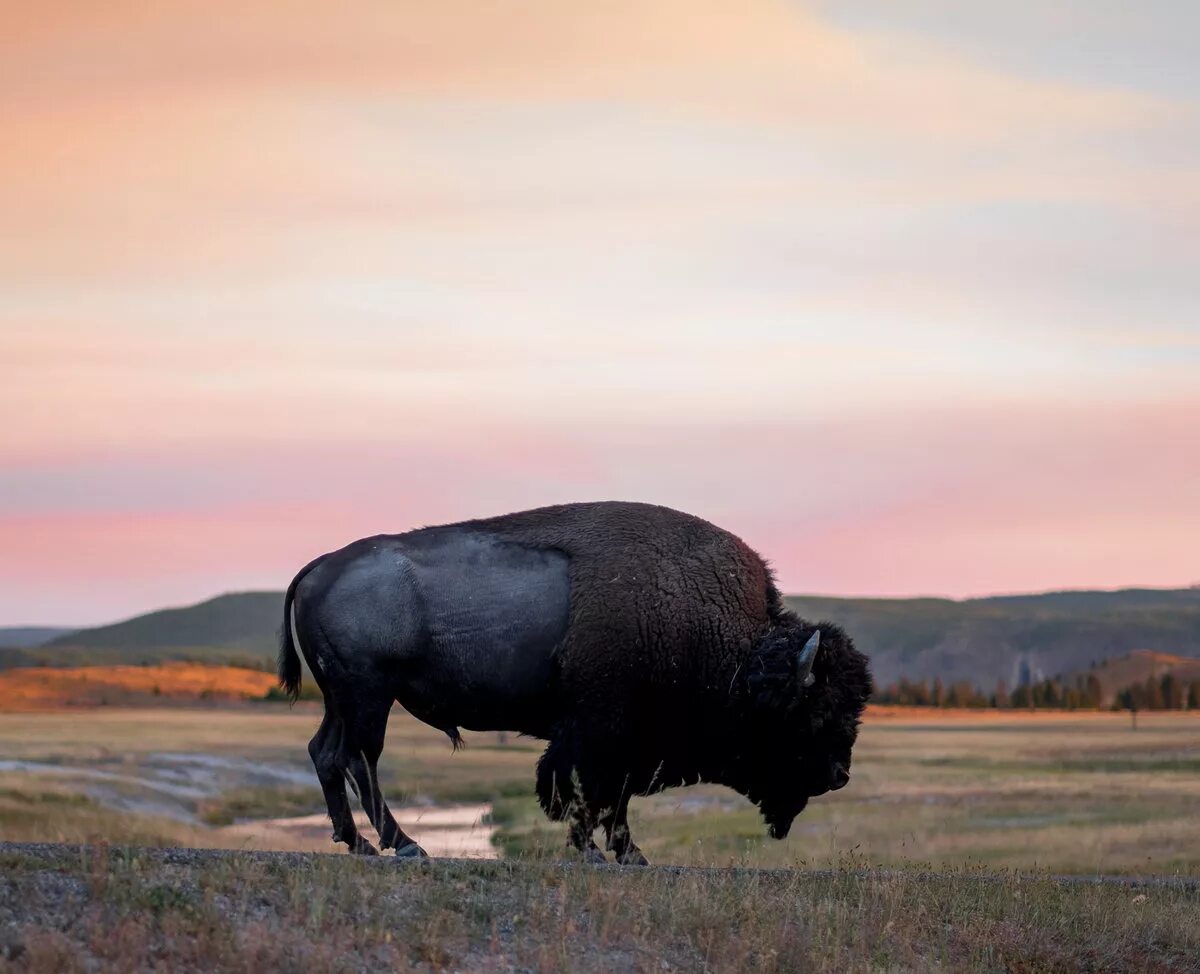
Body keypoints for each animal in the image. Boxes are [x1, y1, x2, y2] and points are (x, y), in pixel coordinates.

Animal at [278, 501, 873, 858]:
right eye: (817, 711)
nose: (840, 774)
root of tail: (320, 565)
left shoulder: (626, 743)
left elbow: (614, 800)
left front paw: (628, 854)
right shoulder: (600, 734)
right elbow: (590, 793)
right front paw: (601, 851)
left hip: (342, 699)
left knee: (325, 753)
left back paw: (358, 843)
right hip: (369, 695)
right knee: (360, 759)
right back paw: (405, 846)